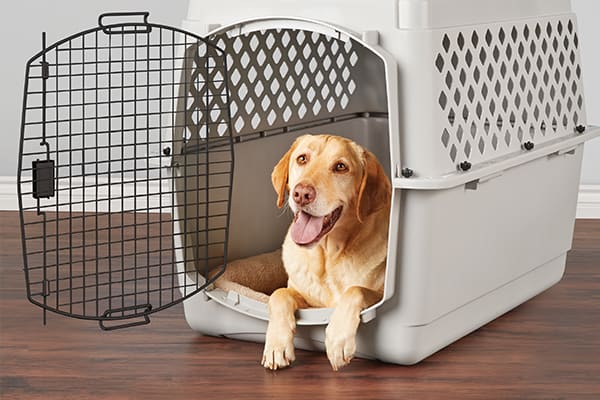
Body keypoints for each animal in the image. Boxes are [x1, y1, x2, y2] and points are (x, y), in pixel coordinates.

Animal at [262, 135, 392, 372]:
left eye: (341, 166)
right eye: (302, 158)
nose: (302, 194)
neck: (327, 256)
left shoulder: (378, 293)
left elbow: (356, 291)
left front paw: (338, 340)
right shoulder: (303, 297)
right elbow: (279, 294)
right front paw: (276, 345)